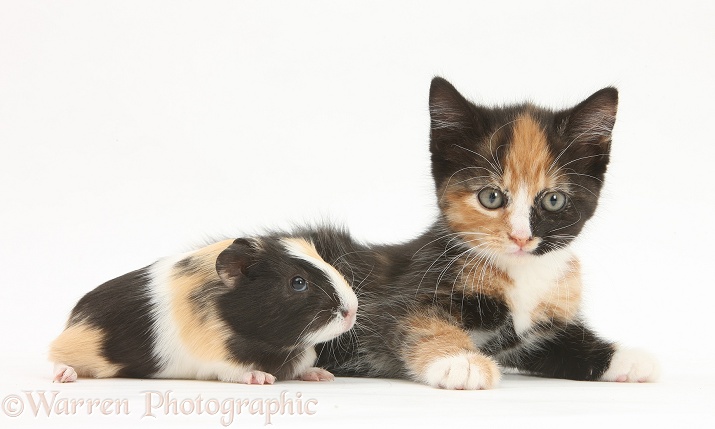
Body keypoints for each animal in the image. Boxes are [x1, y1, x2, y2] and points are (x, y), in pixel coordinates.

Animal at [314, 77, 660, 388]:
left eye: (554, 200)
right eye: (490, 197)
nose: (521, 237)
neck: (520, 272)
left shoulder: (538, 329)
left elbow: (565, 343)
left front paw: (626, 358)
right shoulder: (394, 296)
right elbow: (416, 319)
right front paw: (460, 361)